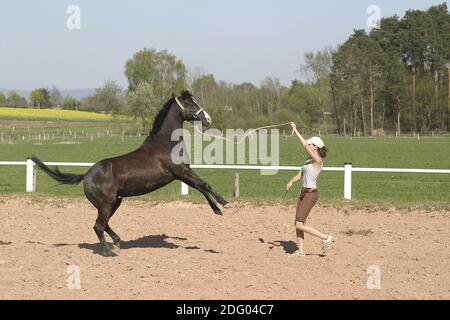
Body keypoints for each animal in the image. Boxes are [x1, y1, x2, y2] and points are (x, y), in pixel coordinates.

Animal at [29, 91, 230, 256]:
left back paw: (117, 242)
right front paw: (224, 204)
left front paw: (217, 209)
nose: (208, 119)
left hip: (114, 202)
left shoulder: (181, 174)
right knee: (98, 226)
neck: (166, 143)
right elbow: (204, 185)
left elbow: (201, 187)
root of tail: (86, 175)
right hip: (106, 204)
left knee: (103, 224)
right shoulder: (181, 172)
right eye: (190, 103)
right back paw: (110, 252)